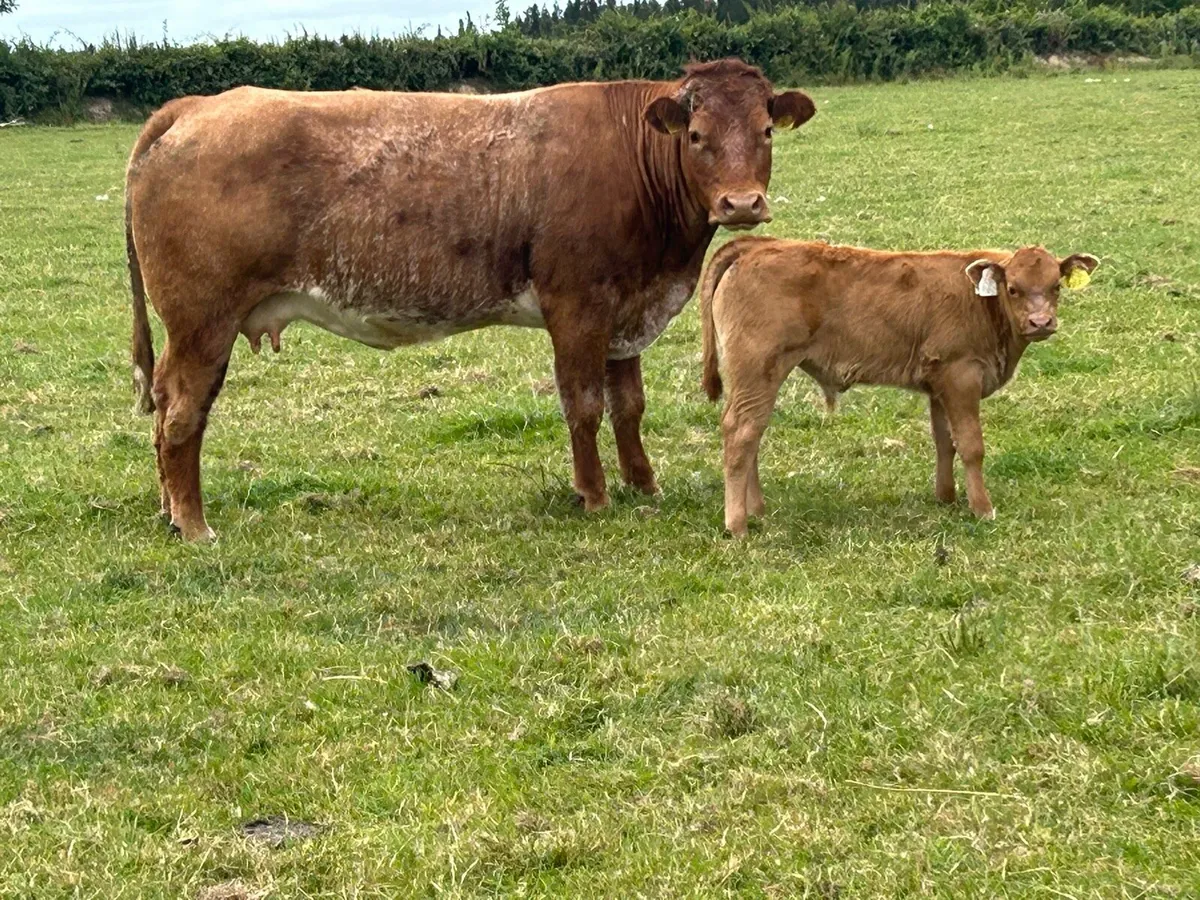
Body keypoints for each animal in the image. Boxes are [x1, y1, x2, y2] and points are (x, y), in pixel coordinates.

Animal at [125, 60, 816, 541]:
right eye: (696, 135)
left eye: (765, 132)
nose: (742, 203)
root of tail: (198, 106)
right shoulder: (578, 308)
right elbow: (585, 406)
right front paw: (593, 495)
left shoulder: (629, 313)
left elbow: (629, 407)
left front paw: (643, 484)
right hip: (201, 321)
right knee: (182, 413)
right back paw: (194, 524)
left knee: (164, 411)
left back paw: (168, 512)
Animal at [698, 238, 1100, 536]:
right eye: (1013, 289)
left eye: (1056, 286)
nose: (1041, 322)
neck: (980, 303)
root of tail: (758, 245)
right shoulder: (962, 375)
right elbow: (971, 446)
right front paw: (982, 508)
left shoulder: (939, 384)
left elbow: (945, 442)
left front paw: (946, 498)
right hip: (757, 370)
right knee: (741, 432)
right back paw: (737, 525)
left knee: (752, 432)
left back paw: (756, 510)